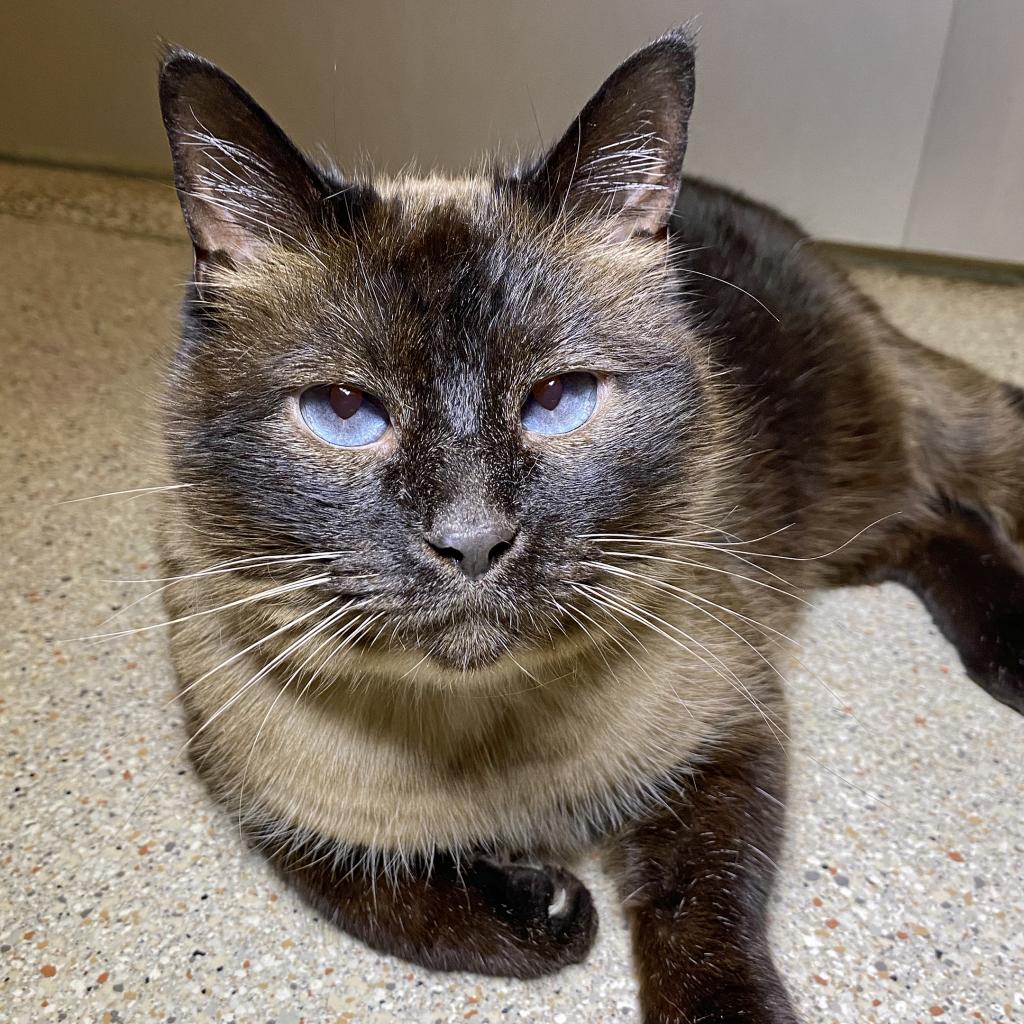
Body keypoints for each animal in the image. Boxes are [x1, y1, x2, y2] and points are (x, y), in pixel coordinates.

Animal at [155, 28, 1019, 1019]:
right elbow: (397, 900)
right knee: (932, 529)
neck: (479, 731)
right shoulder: (266, 805)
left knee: (958, 493)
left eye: (559, 399)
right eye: (344, 411)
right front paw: (551, 908)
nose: (473, 540)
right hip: (833, 537)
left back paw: (1013, 660)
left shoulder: (730, 733)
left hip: (854, 486)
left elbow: (702, 914)